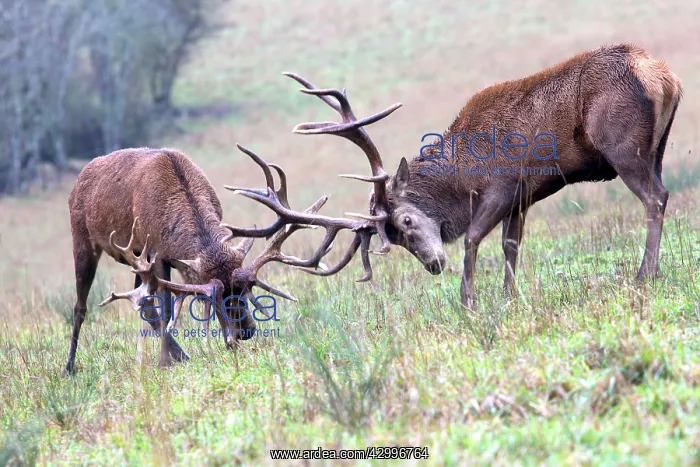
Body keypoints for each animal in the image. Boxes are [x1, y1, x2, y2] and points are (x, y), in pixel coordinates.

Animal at [64, 86, 403, 375]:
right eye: (215, 300)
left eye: (247, 288)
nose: (246, 332)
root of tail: (80, 176)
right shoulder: (155, 255)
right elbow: (165, 304)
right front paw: (170, 359)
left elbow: (158, 305)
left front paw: (172, 356)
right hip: (82, 238)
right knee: (82, 306)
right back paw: (70, 367)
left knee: (141, 301)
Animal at [282, 43, 683, 309]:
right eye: (394, 238)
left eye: (406, 220)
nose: (433, 265)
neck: (461, 179)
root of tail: (664, 77)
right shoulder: (522, 199)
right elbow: (511, 245)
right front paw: (510, 297)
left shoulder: (503, 187)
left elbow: (472, 238)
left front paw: (468, 301)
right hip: (657, 149)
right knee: (661, 192)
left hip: (623, 146)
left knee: (655, 197)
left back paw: (645, 273)